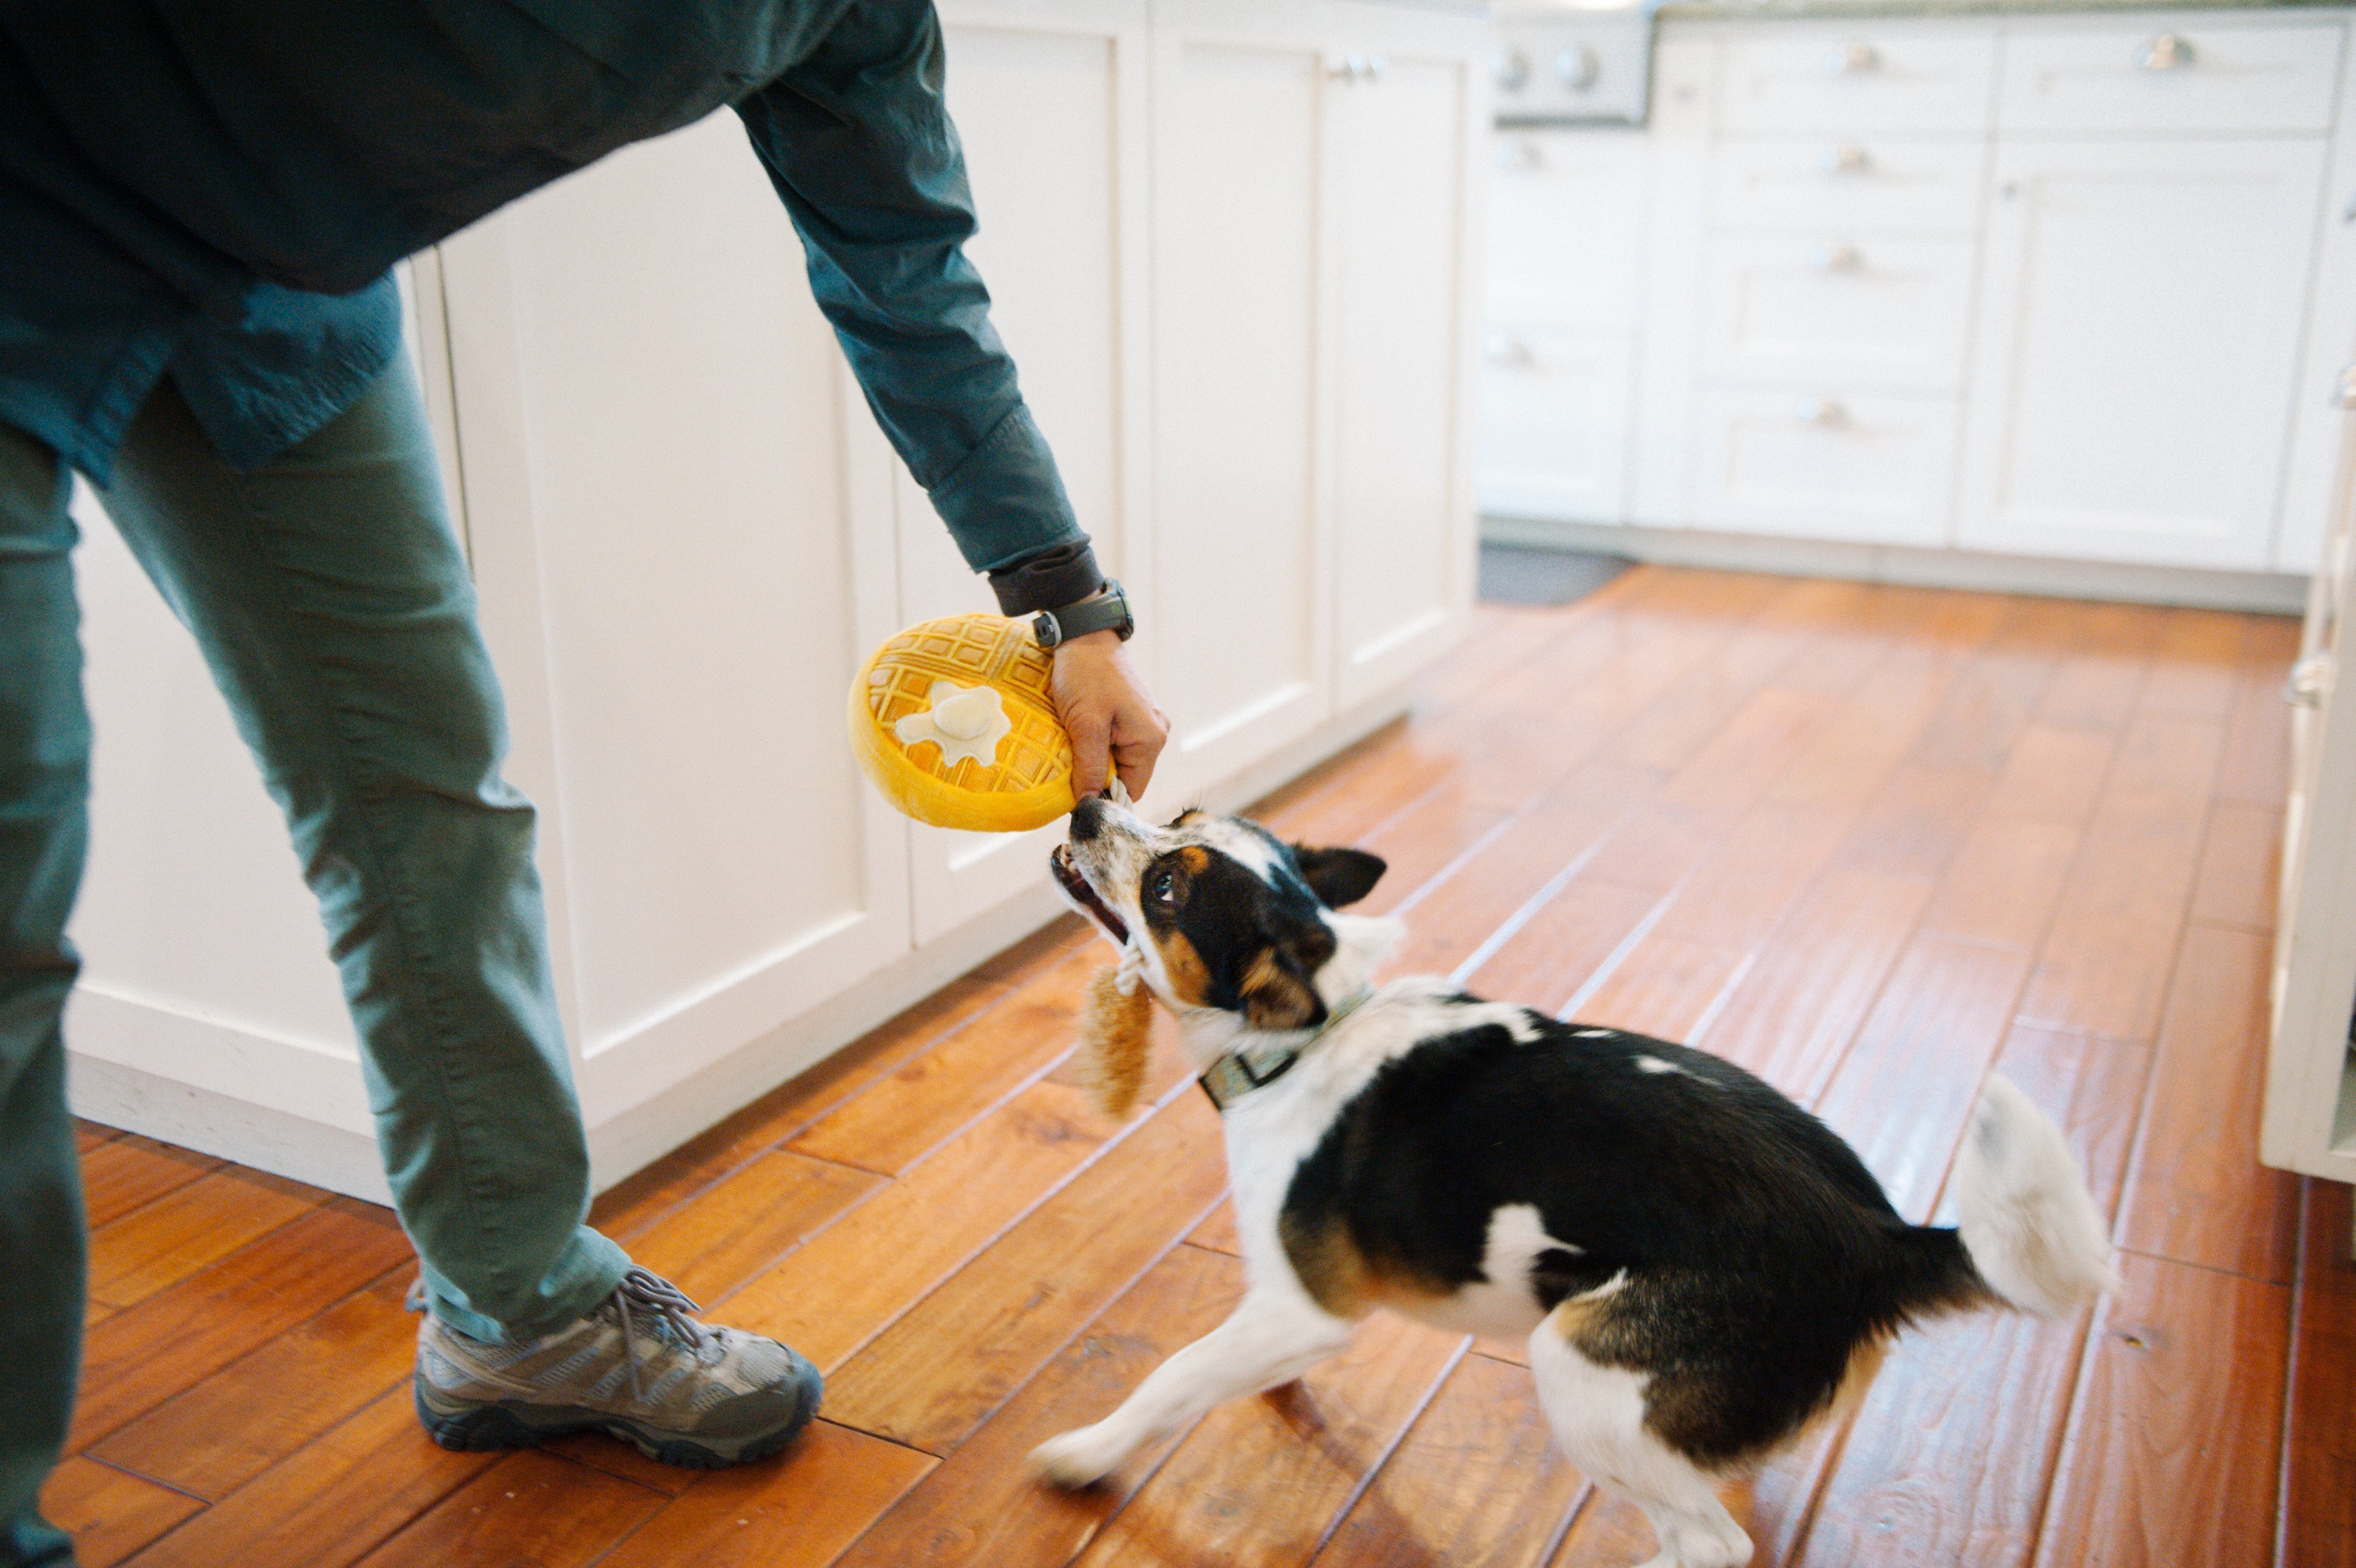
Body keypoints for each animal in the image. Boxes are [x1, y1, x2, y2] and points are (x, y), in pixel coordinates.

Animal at [1032, 795, 2120, 1563]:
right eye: (1179, 814)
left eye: (1167, 888)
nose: (1086, 805)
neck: (1298, 1042)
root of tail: (1874, 1236)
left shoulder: (1306, 1307)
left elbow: (1176, 1377)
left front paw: (1089, 1450)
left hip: (1578, 1365)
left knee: (1710, 1542)